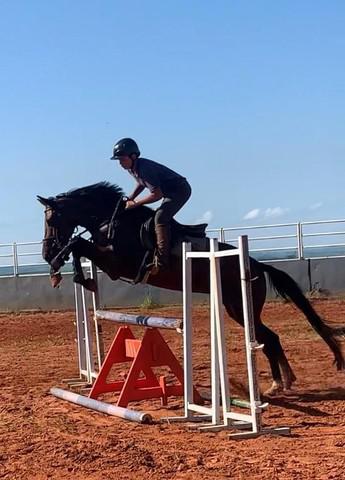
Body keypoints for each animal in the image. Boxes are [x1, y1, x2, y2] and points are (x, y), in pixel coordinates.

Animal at [36, 182, 342, 396]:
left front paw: (61, 270)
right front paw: (66, 272)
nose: (45, 252)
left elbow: (77, 244)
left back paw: (278, 384)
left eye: (51, 220)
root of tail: (255, 264)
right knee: (271, 338)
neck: (112, 221)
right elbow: (78, 245)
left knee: (268, 338)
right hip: (237, 308)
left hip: (241, 308)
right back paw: (285, 381)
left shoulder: (117, 263)